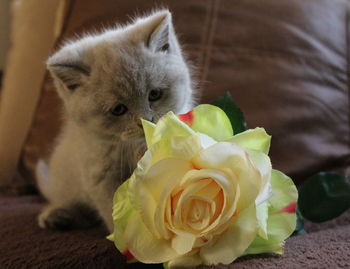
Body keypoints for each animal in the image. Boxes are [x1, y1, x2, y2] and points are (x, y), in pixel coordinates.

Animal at [38, 10, 196, 231]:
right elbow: (113, 211)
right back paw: (57, 216)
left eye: (154, 94)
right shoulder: (100, 177)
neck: (135, 148)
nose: (145, 120)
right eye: (118, 109)